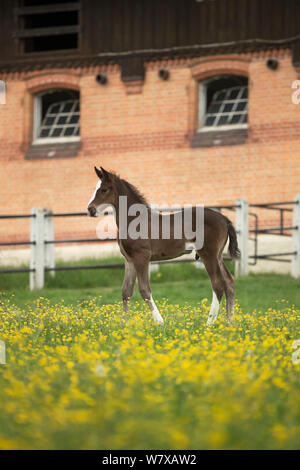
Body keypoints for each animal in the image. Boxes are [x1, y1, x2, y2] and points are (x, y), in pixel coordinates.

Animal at [86, 167, 239, 324]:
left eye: (104, 189)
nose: (90, 210)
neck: (134, 220)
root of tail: (224, 219)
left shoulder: (141, 257)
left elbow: (144, 289)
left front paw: (159, 322)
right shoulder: (129, 260)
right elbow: (126, 291)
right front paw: (124, 324)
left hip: (208, 254)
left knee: (218, 284)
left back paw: (209, 323)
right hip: (218, 256)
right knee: (229, 282)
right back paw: (229, 322)